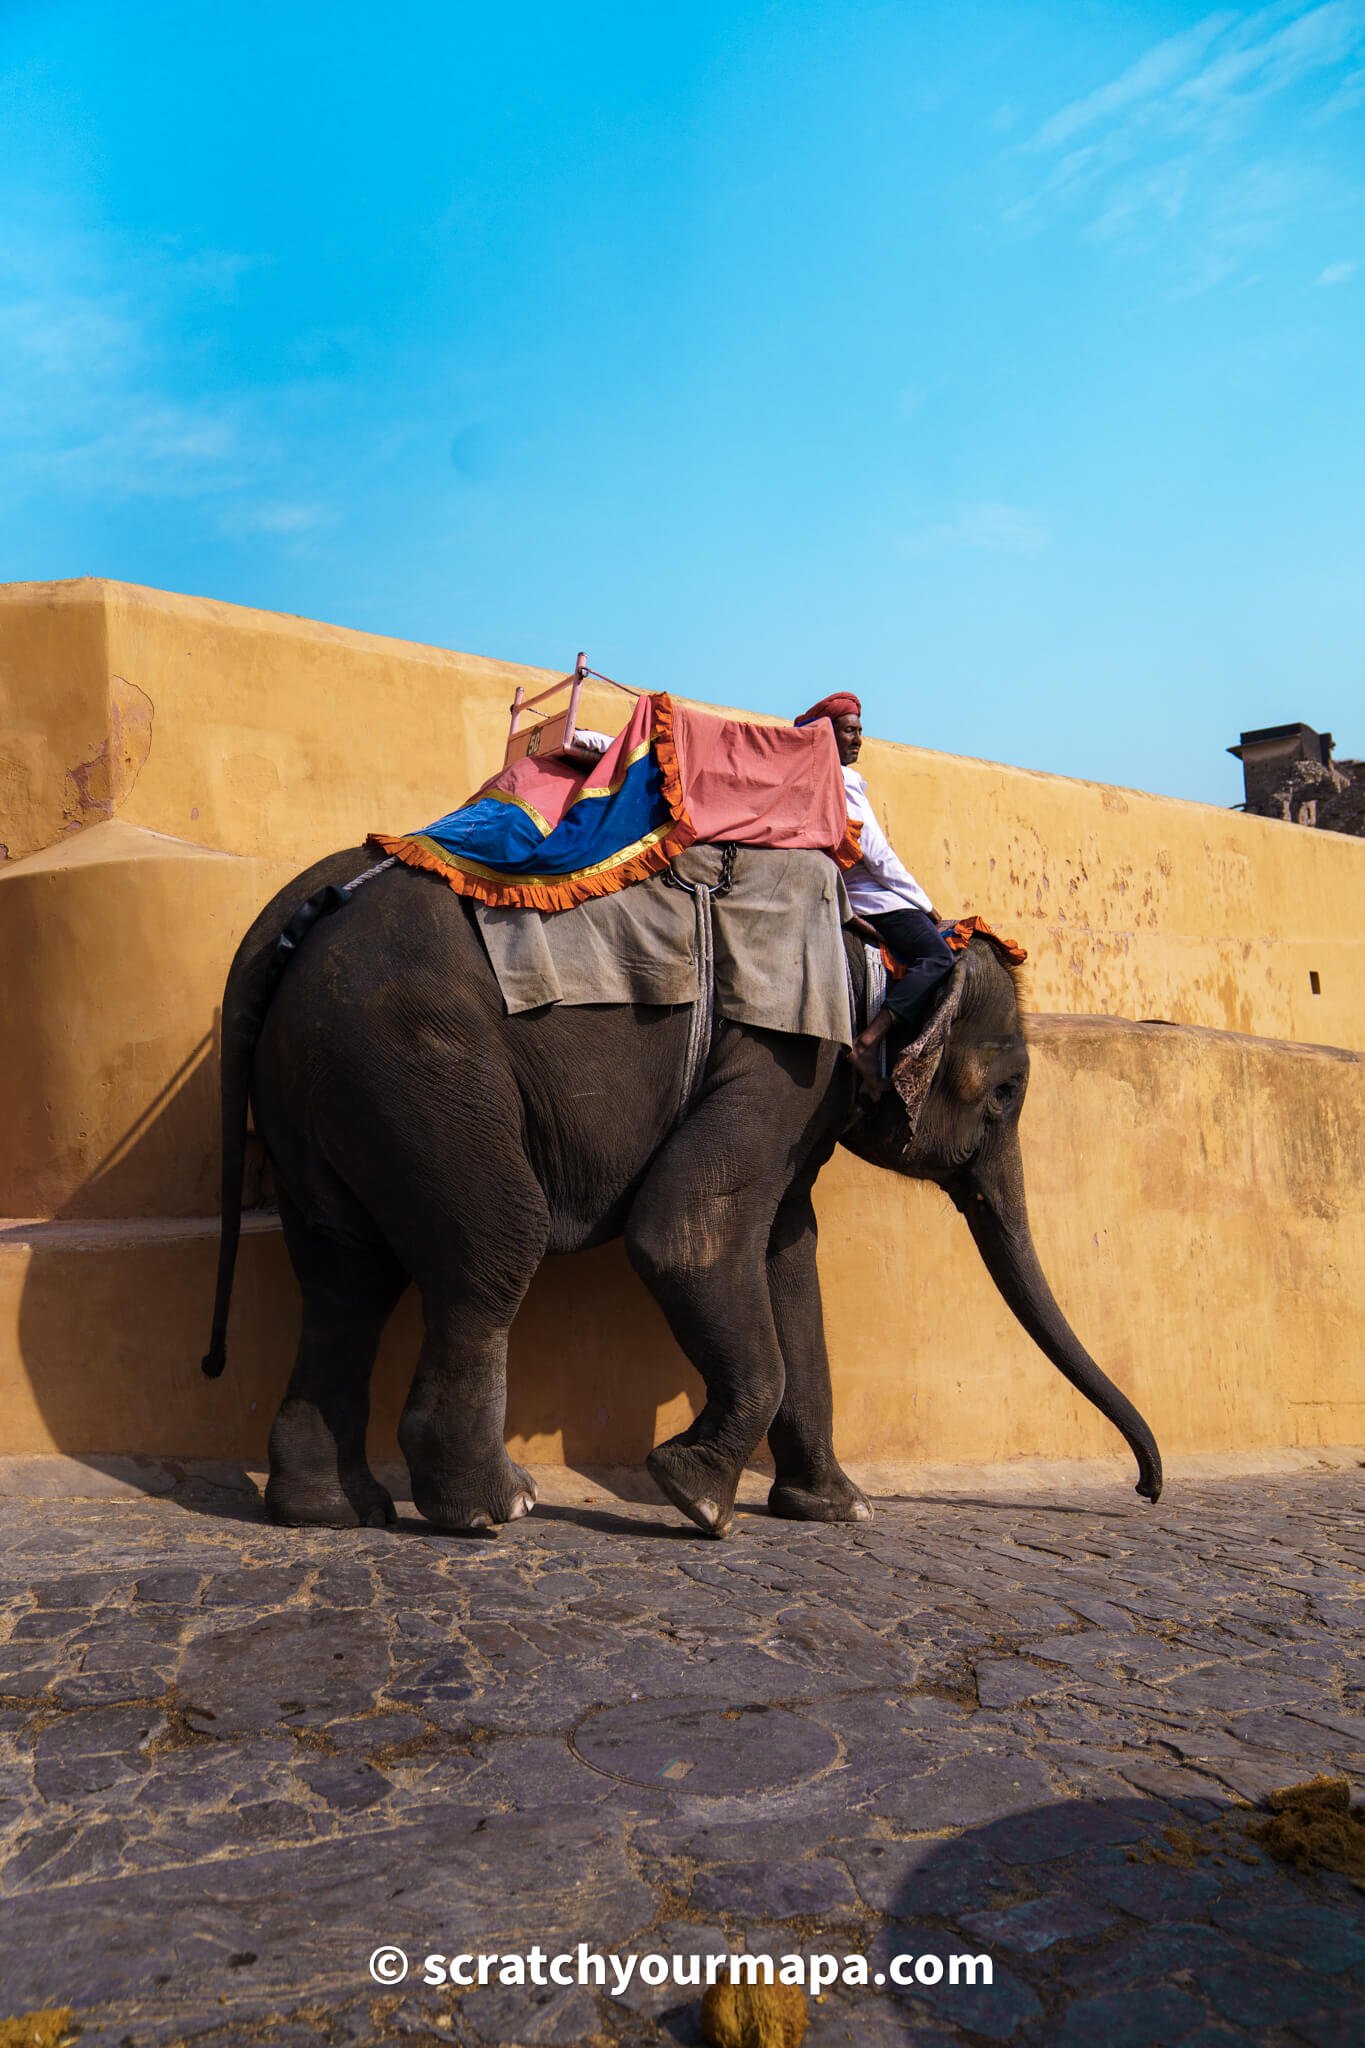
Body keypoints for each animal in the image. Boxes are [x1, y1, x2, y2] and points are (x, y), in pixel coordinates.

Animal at [205, 839, 1162, 1531]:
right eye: (1006, 1096)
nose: (1146, 1492)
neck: (875, 947)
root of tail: (299, 912)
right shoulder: (785, 1053)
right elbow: (687, 1235)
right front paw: (695, 1500)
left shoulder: (804, 1085)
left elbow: (787, 1257)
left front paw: (837, 1511)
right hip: (412, 1061)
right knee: (491, 1250)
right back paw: (491, 1511)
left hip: (323, 1084)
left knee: (343, 1278)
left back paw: (329, 1512)